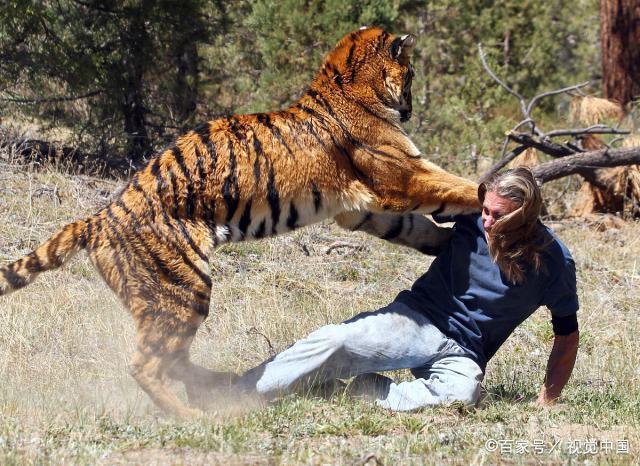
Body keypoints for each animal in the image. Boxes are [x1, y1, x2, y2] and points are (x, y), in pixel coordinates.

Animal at [0, 27, 480, 416]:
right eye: (411, 75)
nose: (413, 107)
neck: (346, 82)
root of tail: (99, 216)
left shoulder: (361, 208)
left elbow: (413, 227)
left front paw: (444, 244)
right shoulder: (401, 176)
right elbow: (455, 185)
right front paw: (493, 193)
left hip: (172, 298)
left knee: (175, 358)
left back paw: (216, 386)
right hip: (183, 289)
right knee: (146, 365)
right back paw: (193, 416)